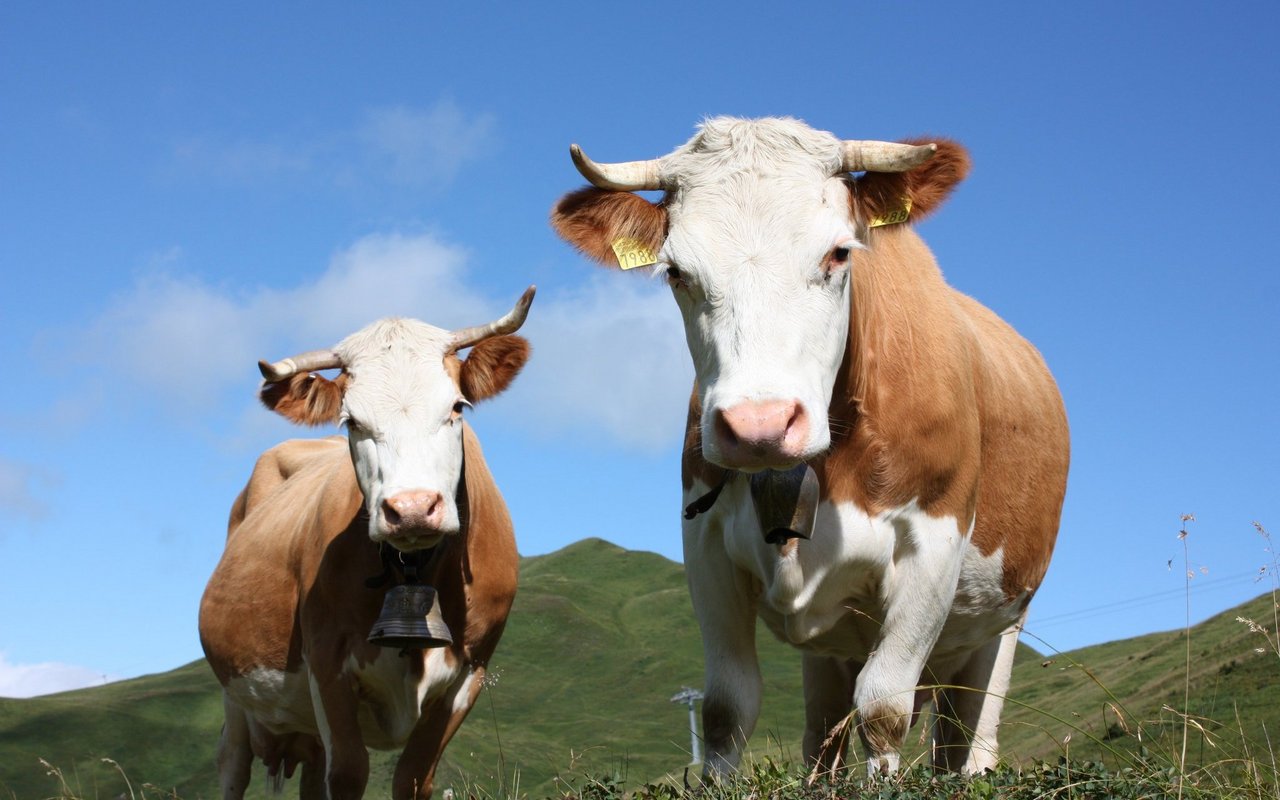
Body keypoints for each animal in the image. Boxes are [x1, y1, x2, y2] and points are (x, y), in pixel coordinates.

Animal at [198, 288, 535, 798]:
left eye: (457, 407)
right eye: (351, 421)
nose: (412, 507)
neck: (414, 571)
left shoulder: (470, 673)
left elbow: (413, 777)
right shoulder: (326, 661)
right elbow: (348, 772)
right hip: (235, 695)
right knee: (233, 765)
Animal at [552, 118, 1070, 773]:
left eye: (838, 252)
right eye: (676, 272)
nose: (760, 426)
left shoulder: (935, 542)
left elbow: (883, 709)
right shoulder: (705, 544)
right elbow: (726, 710)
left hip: (1001, 623)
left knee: (968, 743)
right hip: (833, 651)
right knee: (824, 736)